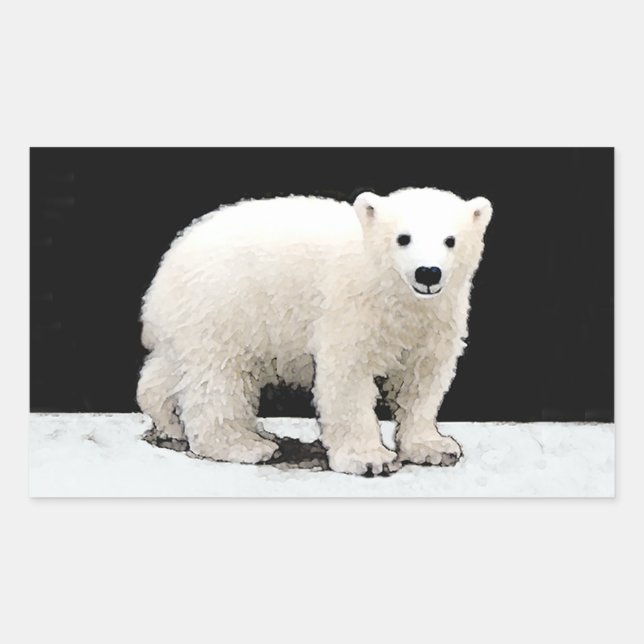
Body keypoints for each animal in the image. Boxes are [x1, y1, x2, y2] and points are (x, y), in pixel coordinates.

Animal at [137, 187, 493, 476]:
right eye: (403, 238)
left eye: (450, 240)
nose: (428, 272)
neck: (394, 293)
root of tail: (166, 267)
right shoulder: (351, 307)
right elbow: (348, 376)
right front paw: (369, 459)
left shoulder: (437, 319)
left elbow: (422, 380)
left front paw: (435, 447)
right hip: (225, 307)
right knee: (219, 379)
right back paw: (245, 445)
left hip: (193, 321)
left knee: (170, 371)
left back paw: (172, 422)